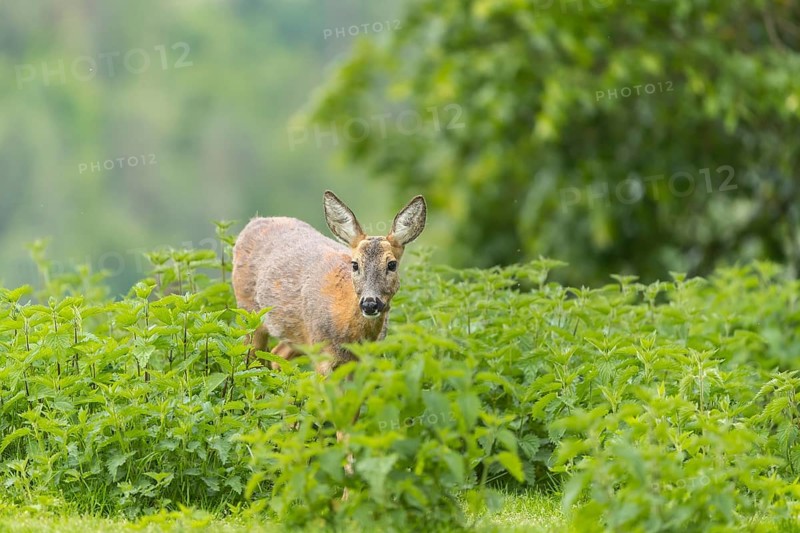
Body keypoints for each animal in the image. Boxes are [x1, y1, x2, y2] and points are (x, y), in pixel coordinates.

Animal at [231, 190, 427, 374]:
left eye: (392, 264)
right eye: (355, 264)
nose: (370, 304)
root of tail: (253, 222)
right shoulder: (322, 352)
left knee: (277, 356)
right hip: (249, 314)